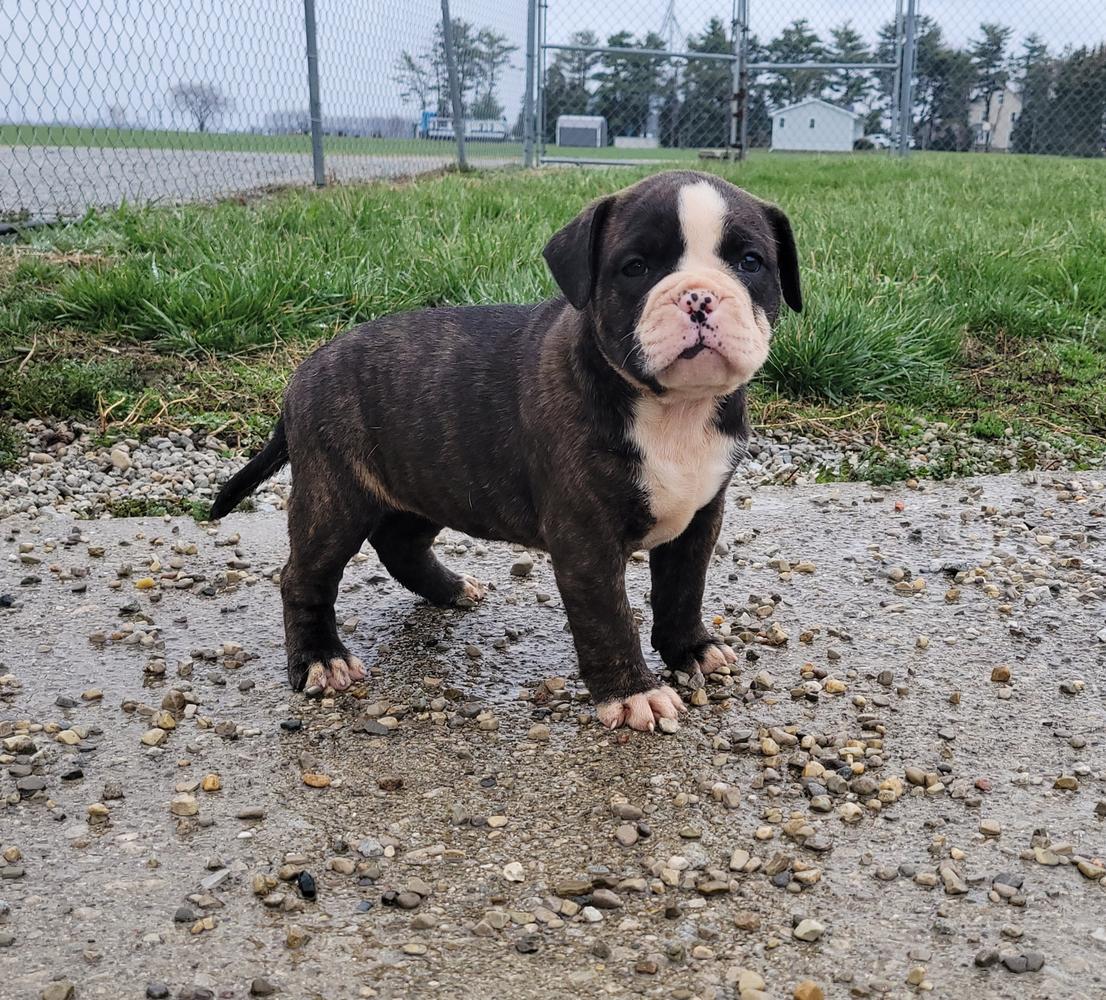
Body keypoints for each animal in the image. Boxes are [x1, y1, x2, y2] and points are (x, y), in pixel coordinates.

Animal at [211, 171, 800, 730]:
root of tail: (305, 370)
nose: (699, 296)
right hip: (334, 497)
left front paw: (690, 650)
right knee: (305, 576)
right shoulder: (586, 537)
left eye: (750, 262)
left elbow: (682, 589)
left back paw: (450, 589)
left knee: (399, 543)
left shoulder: (700, 516)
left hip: (430, 481)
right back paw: (320, 658)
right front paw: (633, 694)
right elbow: (608, 616)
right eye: (635, 267)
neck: (673, 409)